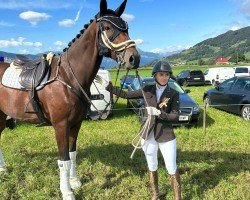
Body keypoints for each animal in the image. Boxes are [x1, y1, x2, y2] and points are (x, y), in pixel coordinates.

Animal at [0, 0, 140, 199]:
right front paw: (67, 191)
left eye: (127, 27)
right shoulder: (61, 126)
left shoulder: (76, 123)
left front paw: (75, 182)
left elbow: (73, 154)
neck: (68, 77)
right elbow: (63, 160)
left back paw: (3, 169)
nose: (134, 58)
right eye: (107, 27)